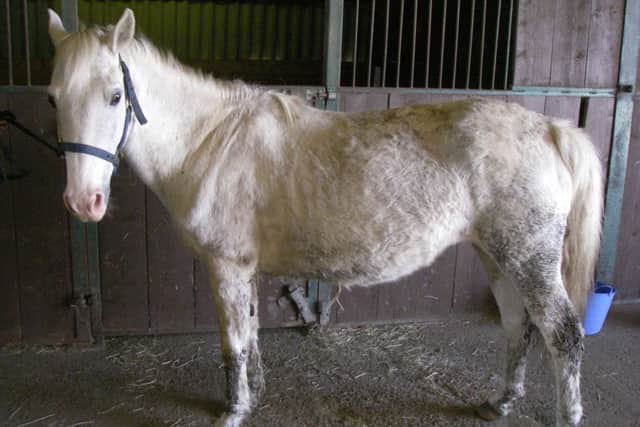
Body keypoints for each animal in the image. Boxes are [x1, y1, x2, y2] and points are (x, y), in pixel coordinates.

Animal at [47, 8, 602, 427]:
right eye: (53, 98)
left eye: (115, 96)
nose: (82, 201)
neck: (211, 142)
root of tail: (550, 128)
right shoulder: (245, 269)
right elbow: (251, 334)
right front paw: (255, 394)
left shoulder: (226, 267)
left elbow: (233, 344)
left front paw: (234, 410)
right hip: (496, 256)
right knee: (517, 325)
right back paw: (500, 402)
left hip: (528, 259)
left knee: (563, 336)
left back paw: (565, 414)